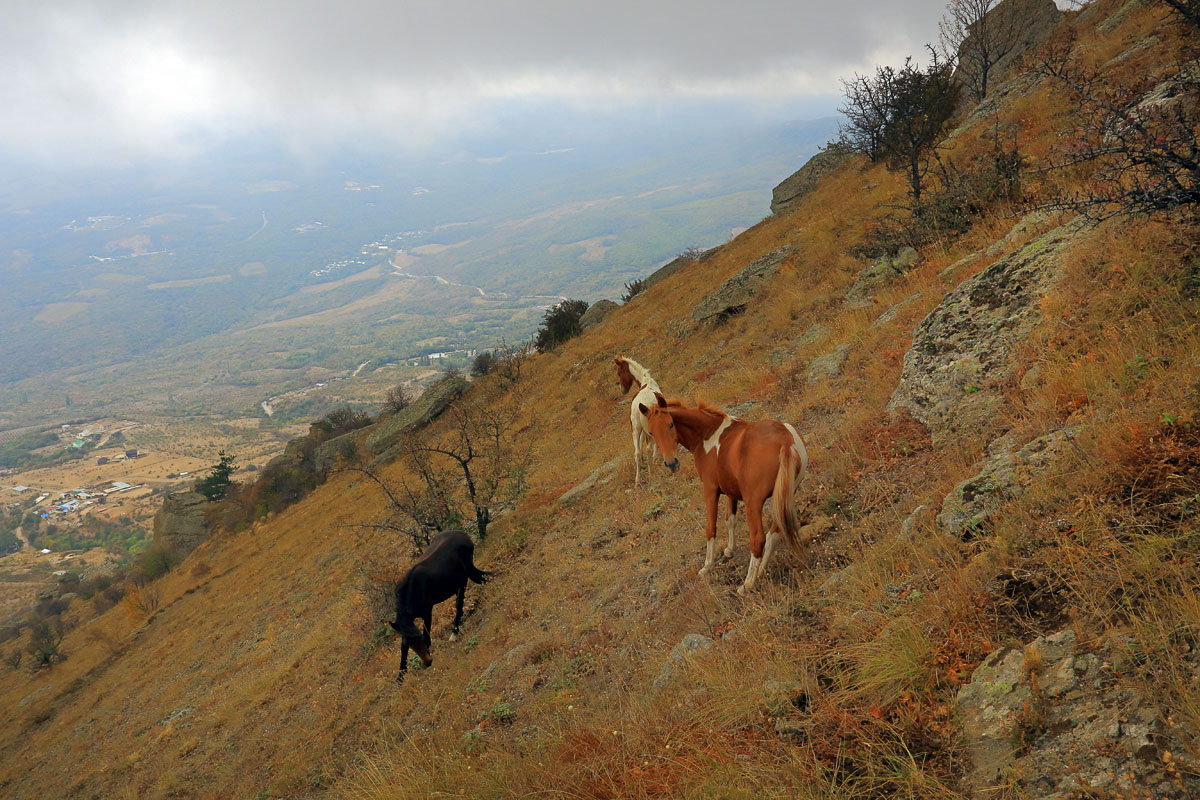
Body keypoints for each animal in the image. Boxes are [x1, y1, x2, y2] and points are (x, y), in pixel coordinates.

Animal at [391, 532, 489, 681]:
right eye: (410, 644)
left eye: (418, 638)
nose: (427, 662)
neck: (411, 592)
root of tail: (464, 535)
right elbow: (403, 650)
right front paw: (400, 677)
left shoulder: (427, 612)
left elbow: (427, 636)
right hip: (464, 577)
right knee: (484, 579)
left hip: (465, 575)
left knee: (466, 598)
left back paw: (454, 632)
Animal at [614, 357, 662, 489]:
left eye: (619, 373)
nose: (622, 390)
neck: (646, 381)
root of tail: (640, 405)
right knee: (649, 448)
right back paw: (651, 473)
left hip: (635, 428)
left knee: (637, 453)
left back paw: (637, 481)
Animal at [638, 393, 806, 594]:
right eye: (651, 433)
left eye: (670, 424)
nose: (671, 463)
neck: (708, 435)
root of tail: (785, 441)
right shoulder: (731, 491)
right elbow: (730, 520)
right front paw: (729, 550)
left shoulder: (710, 490)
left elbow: (711, 528)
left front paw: (707, 566)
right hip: (782, 499)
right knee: (774, 534)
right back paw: (760, 572)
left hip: (753, 502)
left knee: (758, 539)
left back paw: (748, 583)